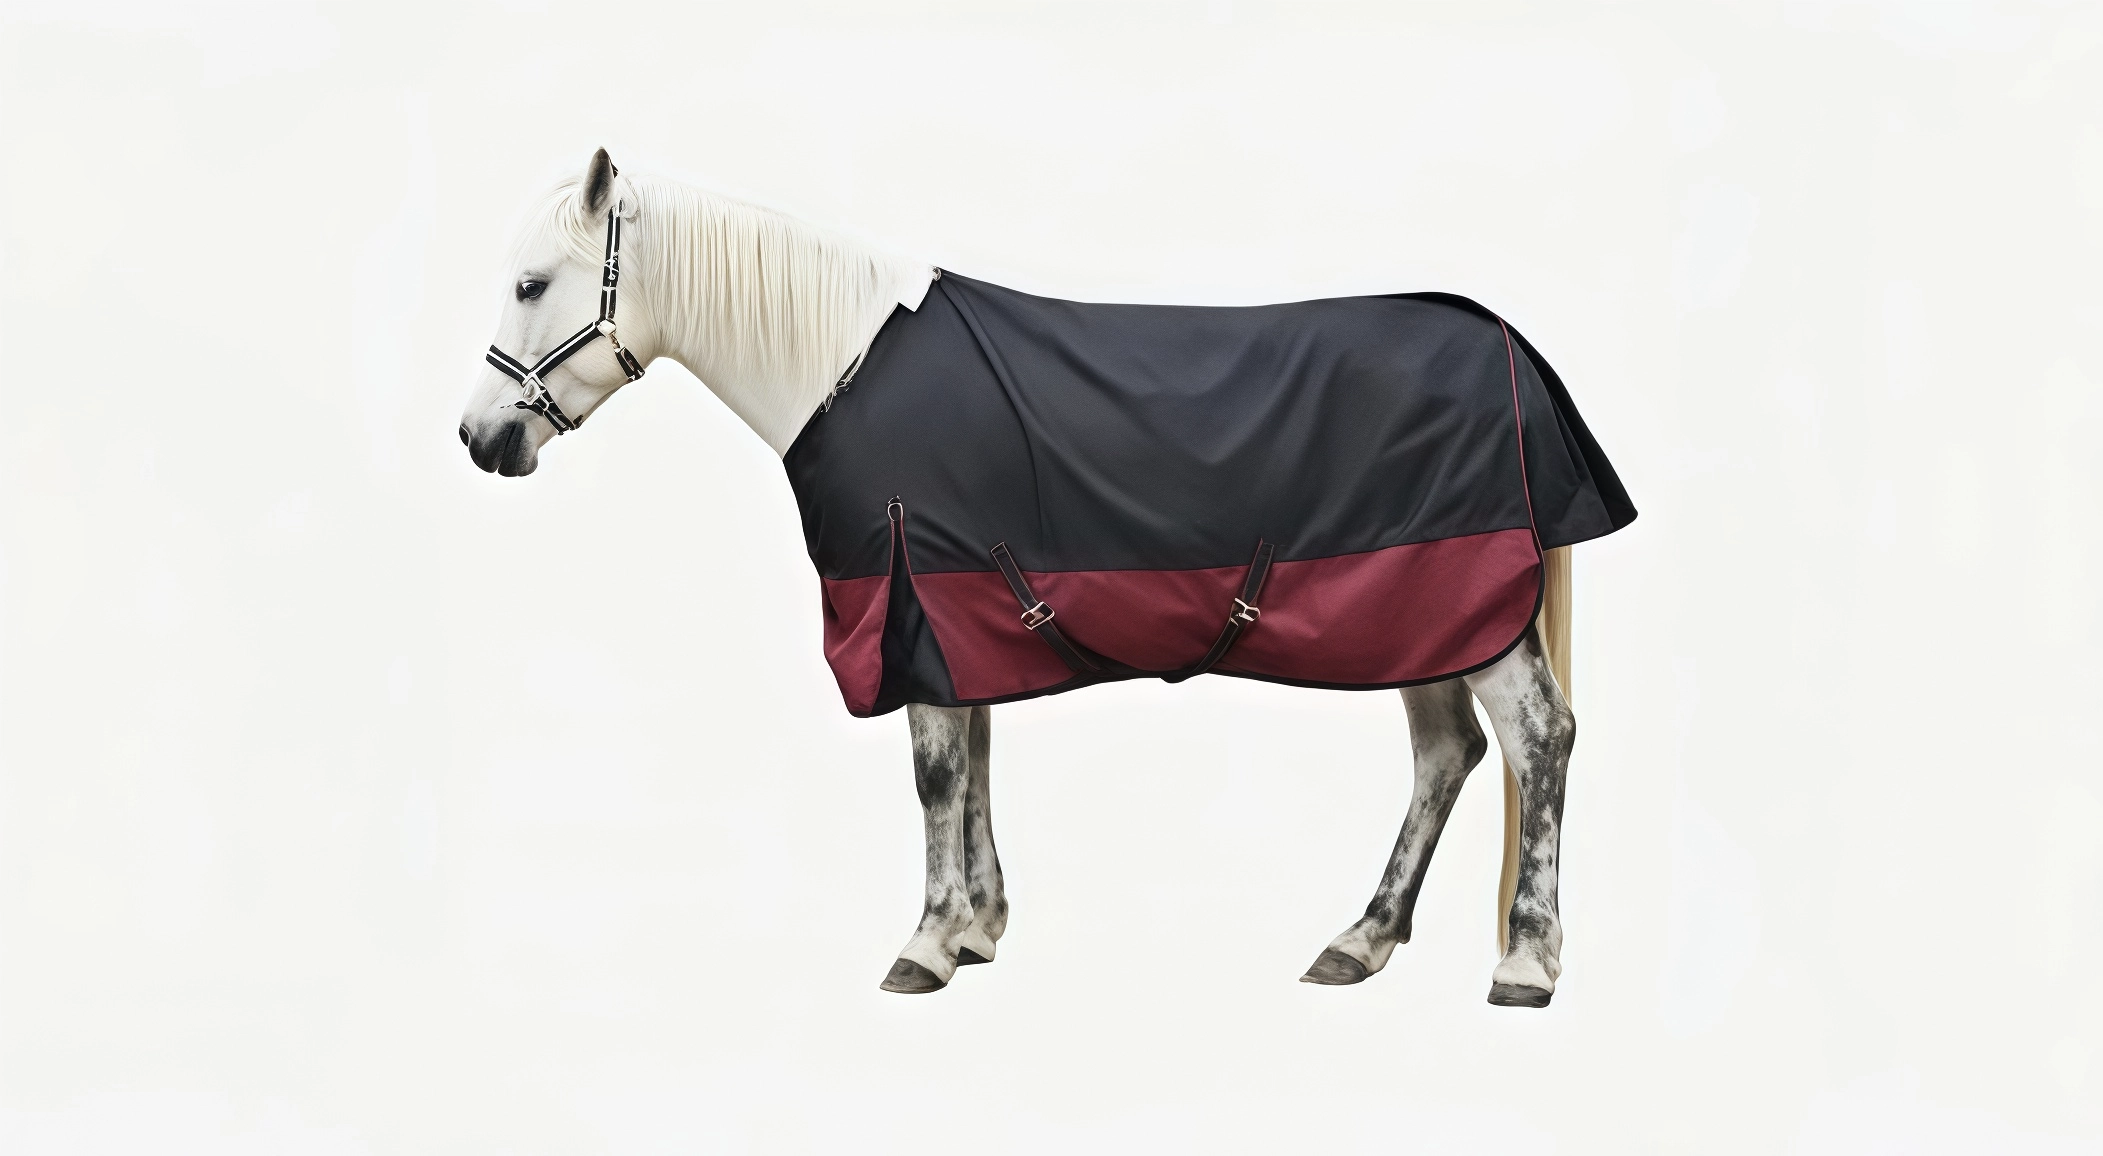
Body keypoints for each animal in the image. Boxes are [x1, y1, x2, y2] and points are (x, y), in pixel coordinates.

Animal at [459, 149, 1634, 1007]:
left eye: (530, 284)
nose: (479, 440)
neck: (840, 369)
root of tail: (1509, 348)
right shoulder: (952, 617)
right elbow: (972, 768)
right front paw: (978, 928)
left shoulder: (911, 605)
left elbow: (936, 778)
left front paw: (926, 944)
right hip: (1427, 617)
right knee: (1448, 755)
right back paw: (1363, 939)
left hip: (1471, 613)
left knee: (1539, 739)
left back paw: (1524, 962)